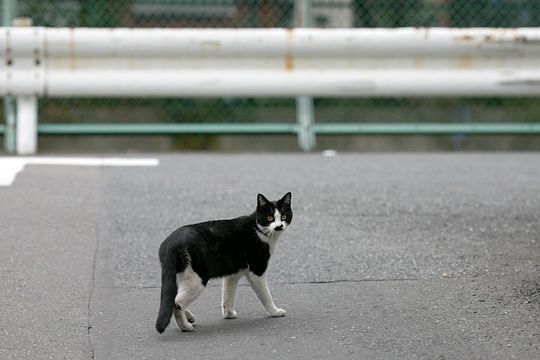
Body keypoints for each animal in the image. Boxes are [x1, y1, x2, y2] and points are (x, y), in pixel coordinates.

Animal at [154, 193, 294, 334]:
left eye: (283, 216)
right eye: (270, 218)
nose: (279, 226)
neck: (258, 229)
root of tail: (171, 243)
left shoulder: (232, 274)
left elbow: (228, 294)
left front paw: (228, 313)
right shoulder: (257, 271)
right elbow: (266, 295)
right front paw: (275, 311)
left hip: (181, 276)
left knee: (172, 298)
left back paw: (189, 317)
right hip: (196, 279)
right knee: (177, 302)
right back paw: (185, 326)